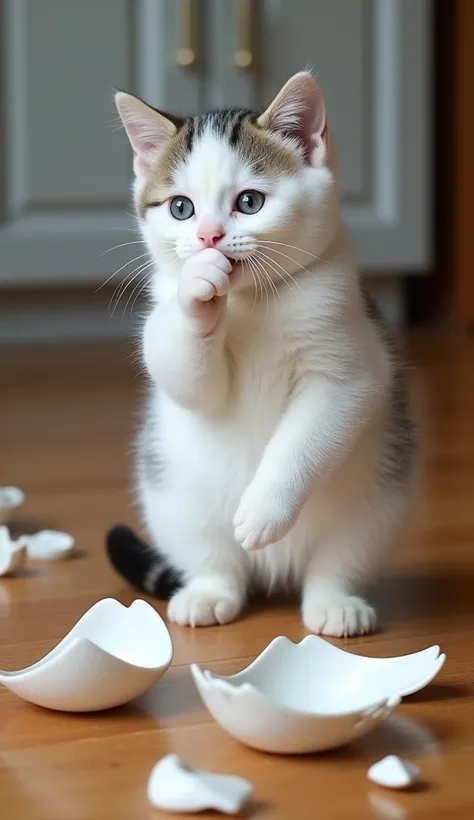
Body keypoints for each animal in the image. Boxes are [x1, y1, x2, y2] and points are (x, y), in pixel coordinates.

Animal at [105, 70, 416, 636]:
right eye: (180, 207)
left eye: (249, 202)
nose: (209, 236)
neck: (256, 301)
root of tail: (274, 571)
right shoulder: (176, 345)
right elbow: (190, 382)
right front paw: (199, 293)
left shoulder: (350, 362)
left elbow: (309, 435)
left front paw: (265, 509)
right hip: (176, 502)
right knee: (216, 562)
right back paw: (209, 594)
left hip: (378, 505)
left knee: (339, 558)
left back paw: (335, 603)